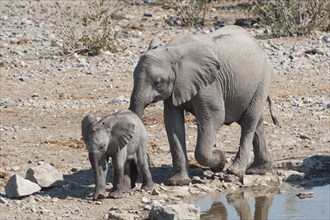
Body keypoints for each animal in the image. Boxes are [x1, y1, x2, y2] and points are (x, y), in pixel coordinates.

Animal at [129, 24, 276, 185]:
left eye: (158, 82)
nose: (150, 162)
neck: (171, 51)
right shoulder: (175, 87)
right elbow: (172, 122)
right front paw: (179, 182)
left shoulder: (209, 84)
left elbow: (214, 116)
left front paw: (220, 160)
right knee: (256, 122)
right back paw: (258, 169)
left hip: (263, 78)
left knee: (249, 120)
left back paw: (233, 173)